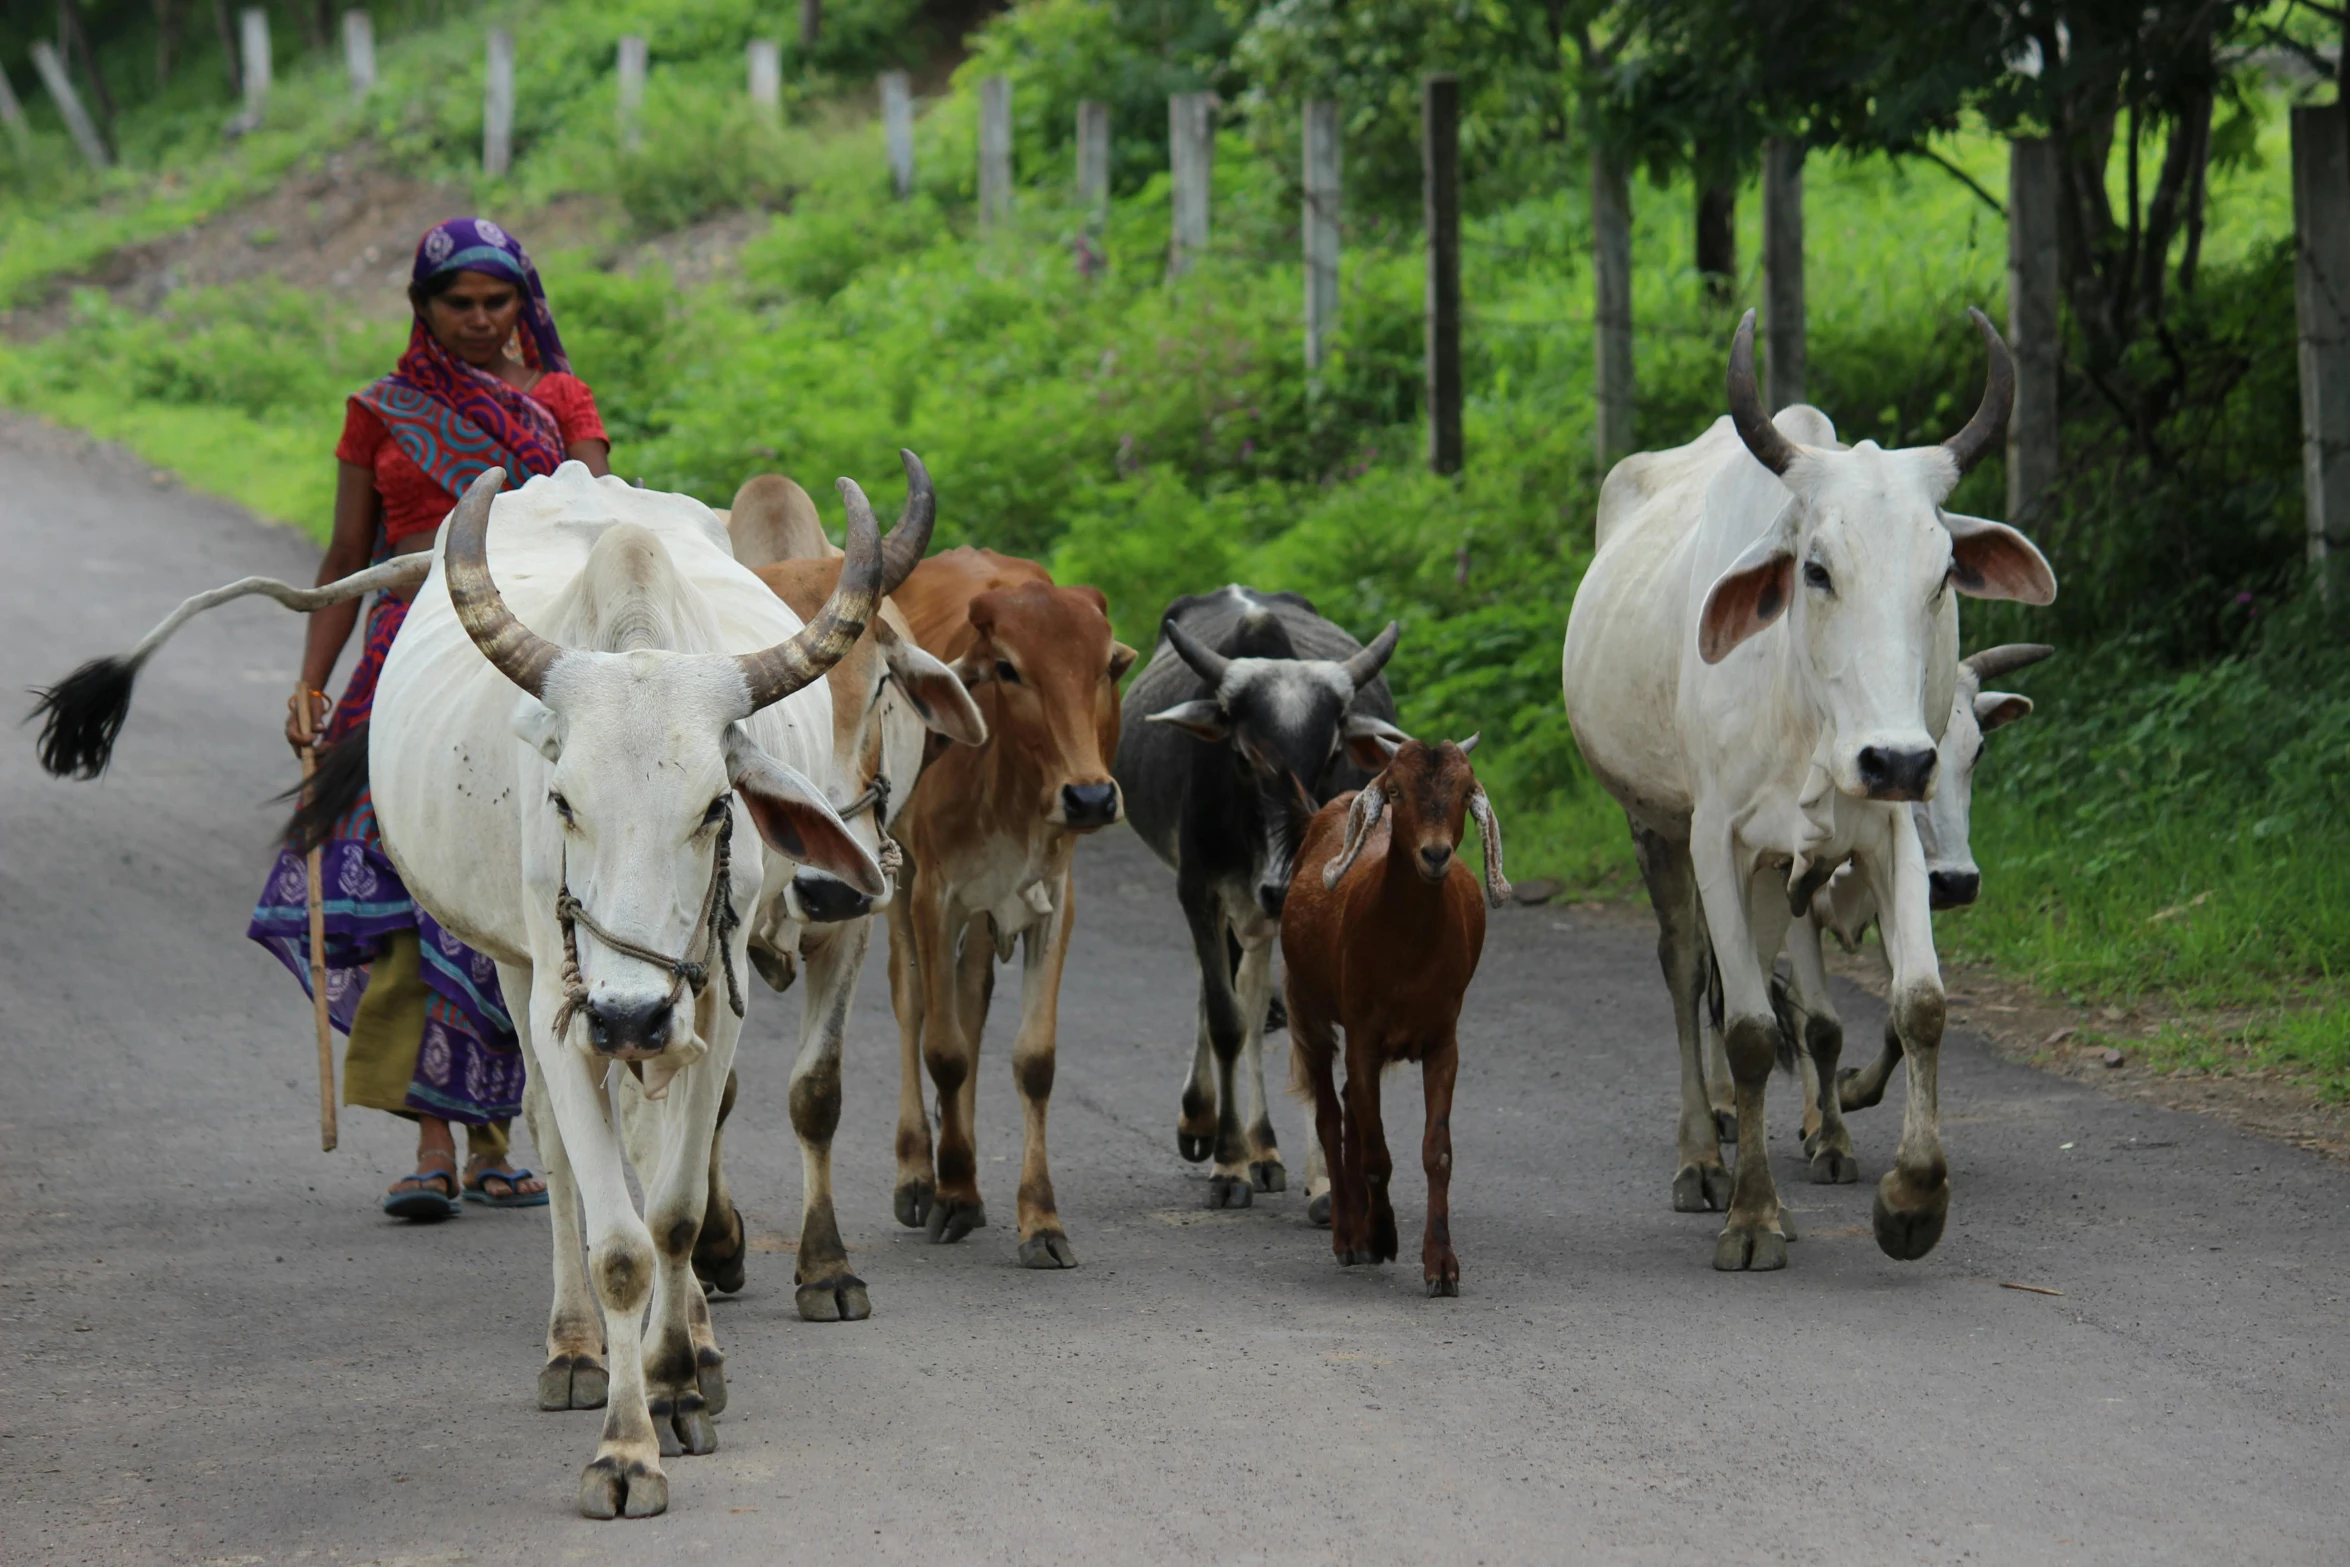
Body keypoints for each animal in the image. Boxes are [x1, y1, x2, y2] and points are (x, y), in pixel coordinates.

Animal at [376, 460, 907, 1512]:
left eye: (714, 806)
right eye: (562, 800)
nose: (628, 1014)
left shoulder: (705, 1003)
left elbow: (674, 1212)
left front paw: (673, 1386)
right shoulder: (568, 1004)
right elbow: (618, 1242)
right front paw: (624, 1446)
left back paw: (694, 1343)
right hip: (524, 970)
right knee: (554, 1143)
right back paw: (577, 1348)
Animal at [883, 545, 1132, 1268]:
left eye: (1105, 666)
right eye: (1009, 668)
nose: (1091, 797)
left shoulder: (1054, 900)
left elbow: (1032, 1060)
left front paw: (1039, 1219)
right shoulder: (935, 897)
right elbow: (943, 1050)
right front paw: (948, 1191)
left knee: (972, 1000)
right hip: (902, 882)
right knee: (912, 1002)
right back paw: (921, 1174)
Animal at [1287, 737, 1504, 1296]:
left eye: (1465, 790)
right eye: (1396, 791)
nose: (1435, 854)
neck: (1408, 952)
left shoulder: (1443, 1042)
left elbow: (1436, 1151)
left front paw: (1442, 1264)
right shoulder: (1363, 1037)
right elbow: (1376, 1152)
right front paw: (1382, 1234)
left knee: (1348, 1107)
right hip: (1306, 1007)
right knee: (1329, 1113)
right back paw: (1348, 1234)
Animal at [1560, 310, 2058, 1278]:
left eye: (1943, 572)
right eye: (1816, 569)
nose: (1898, 759)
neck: (1807, 715)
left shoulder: (1886, 836)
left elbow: (1918, 1004)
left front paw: (1910, 1201)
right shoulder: (1717, 837)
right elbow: (1754, 1029)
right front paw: (1752, 1216)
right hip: (1655, 827)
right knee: (1690, 974)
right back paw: (1702, 1152)